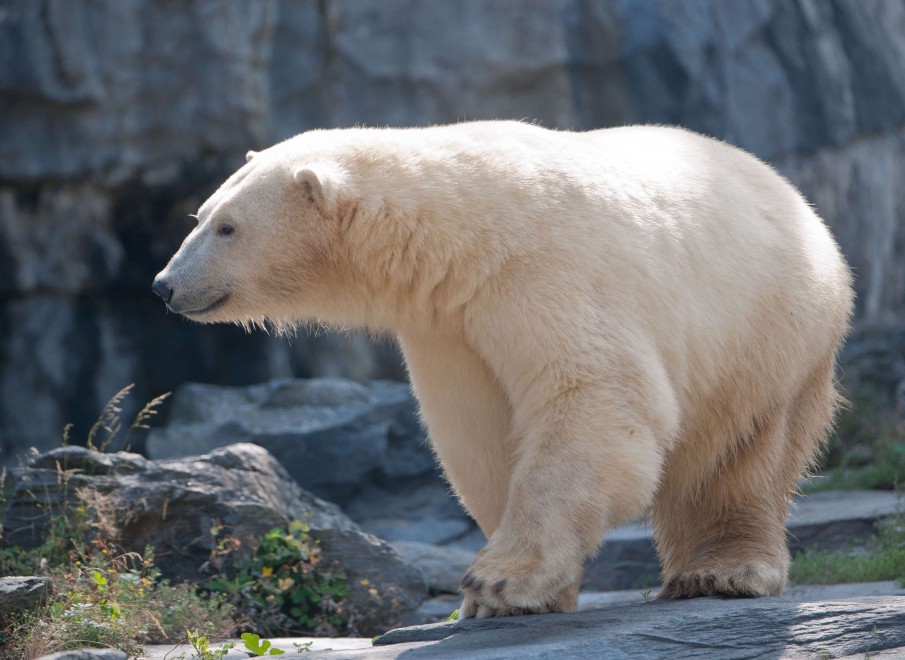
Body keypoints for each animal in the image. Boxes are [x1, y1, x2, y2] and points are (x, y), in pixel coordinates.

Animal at [153, 121, 853, 619]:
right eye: (200, 217)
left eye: (227, 227)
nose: (164, 285)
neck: (462, 231)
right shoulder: (448, 324)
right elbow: (478, 434)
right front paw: (514, 595)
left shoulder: (546, 274)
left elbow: (593, 400)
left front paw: (499, 582)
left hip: (768, 331)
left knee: (743, 453)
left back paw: (723, 572)